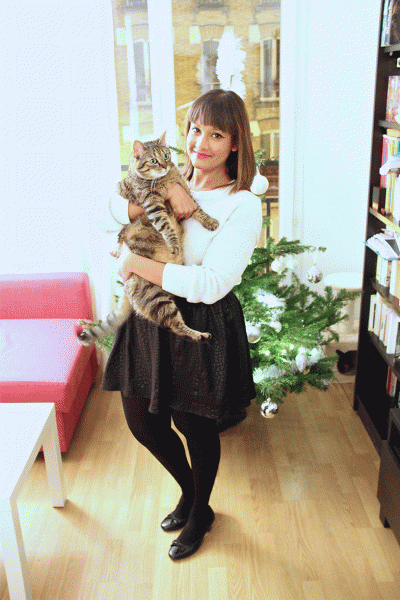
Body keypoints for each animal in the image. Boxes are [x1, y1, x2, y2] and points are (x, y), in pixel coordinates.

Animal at [78, 132, 219, 346]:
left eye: (167, 155)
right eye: (153, 160)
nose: (165, 165)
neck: (167, 179)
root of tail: (126, 290)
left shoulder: (185, 196)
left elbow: (199, 211)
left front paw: (210, 221)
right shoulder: (153, 204)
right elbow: (166, 227)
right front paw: (174, 243)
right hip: (156, 297)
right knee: (174, 324)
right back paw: (198, 335)